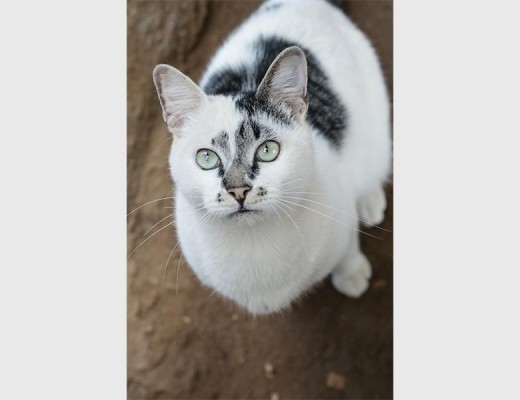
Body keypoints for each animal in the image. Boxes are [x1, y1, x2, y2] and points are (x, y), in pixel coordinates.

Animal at [152, 0, 391, 315]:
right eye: (207, 158)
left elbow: (348, 243)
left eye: (267, 151)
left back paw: (369, 201)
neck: (254, 245)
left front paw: (351, 273)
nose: (238, 189)